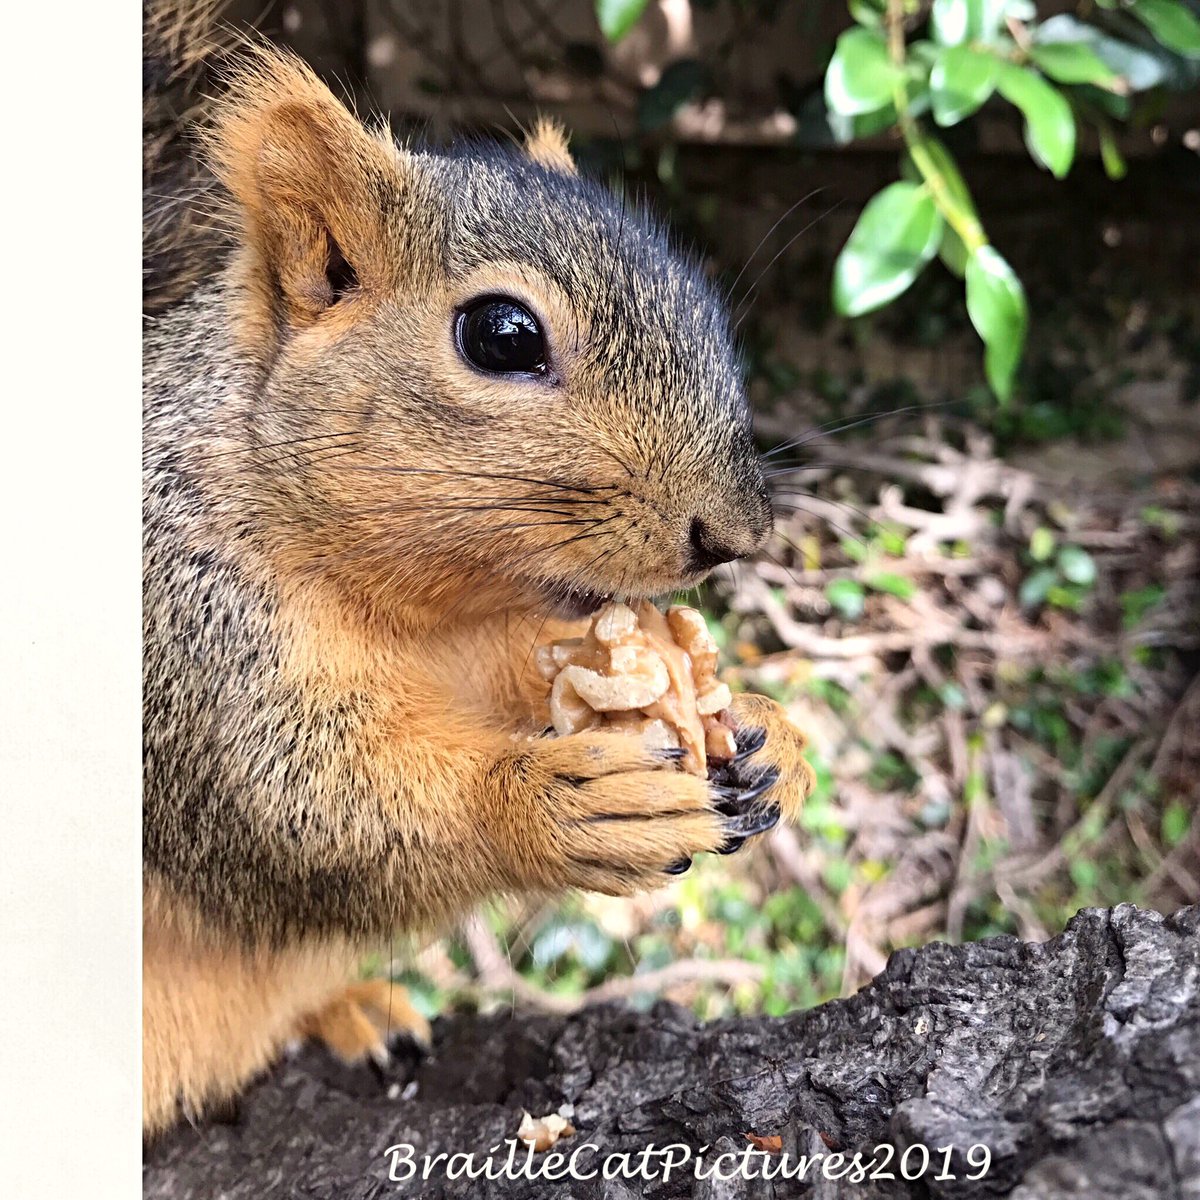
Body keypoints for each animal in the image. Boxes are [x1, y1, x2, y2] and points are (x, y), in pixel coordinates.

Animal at [142, 1, 815, 1136]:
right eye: (501, 336)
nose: (734, 533)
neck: (417, 616)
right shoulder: (186, 646)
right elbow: (299, 815)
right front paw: (553, 804)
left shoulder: (510, 635)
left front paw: (776, 730)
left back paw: (351, 1010)